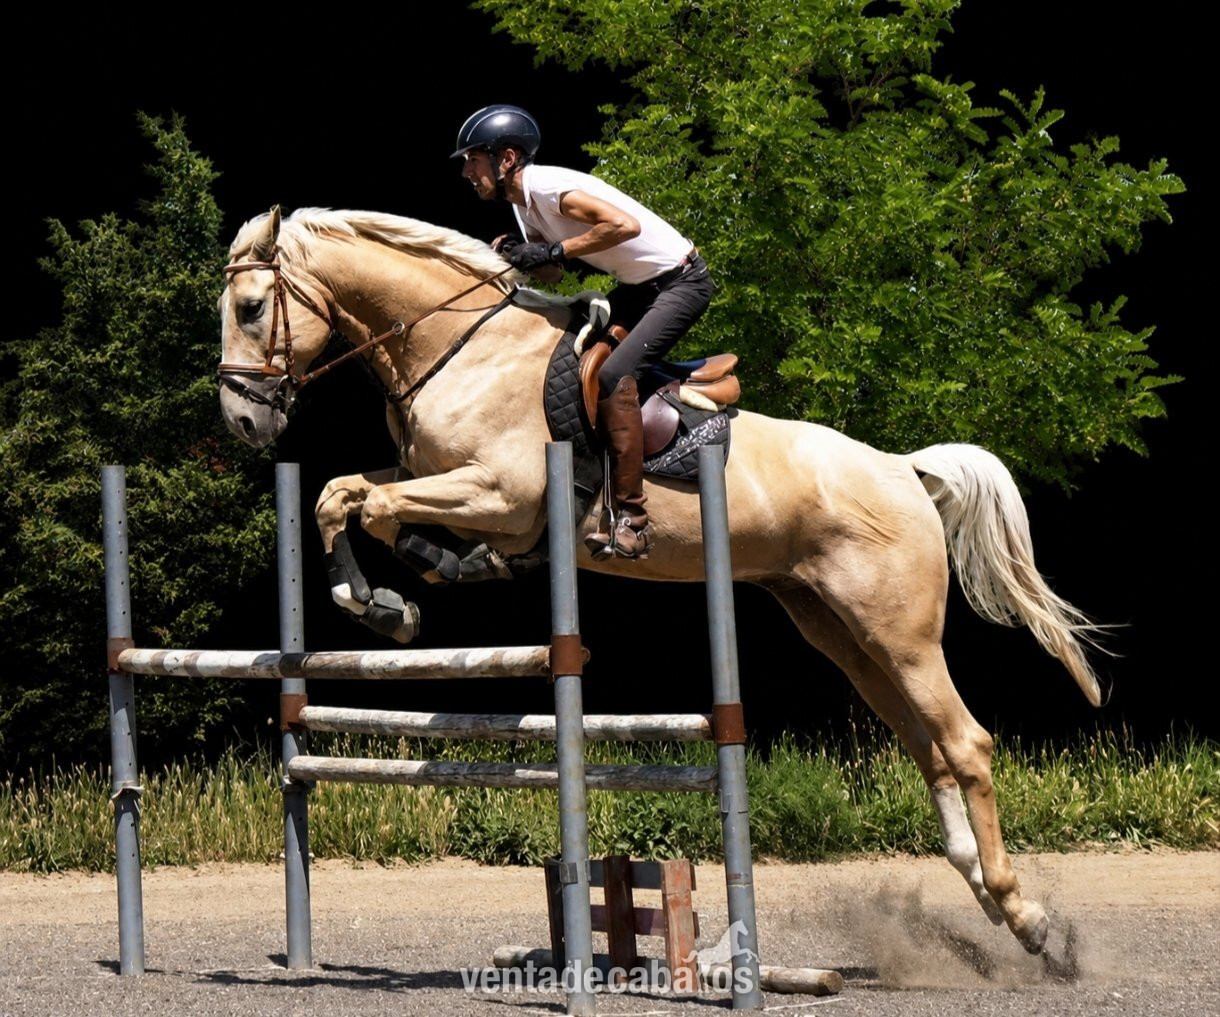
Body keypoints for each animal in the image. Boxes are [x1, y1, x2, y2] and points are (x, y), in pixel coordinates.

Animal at [218, 205, 1104, 957]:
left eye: (253, 307)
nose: (244, 421)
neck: (458, 345)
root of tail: (903, 468)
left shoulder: (501, 494)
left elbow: (370, 506)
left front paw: (408, 588)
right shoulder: (431, 478)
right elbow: (344, 496)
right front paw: (381, 601)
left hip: (901, 631)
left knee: (967, 742)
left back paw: (1024, 915)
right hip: (841, 631)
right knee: (927, 747)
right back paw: (988, 896)